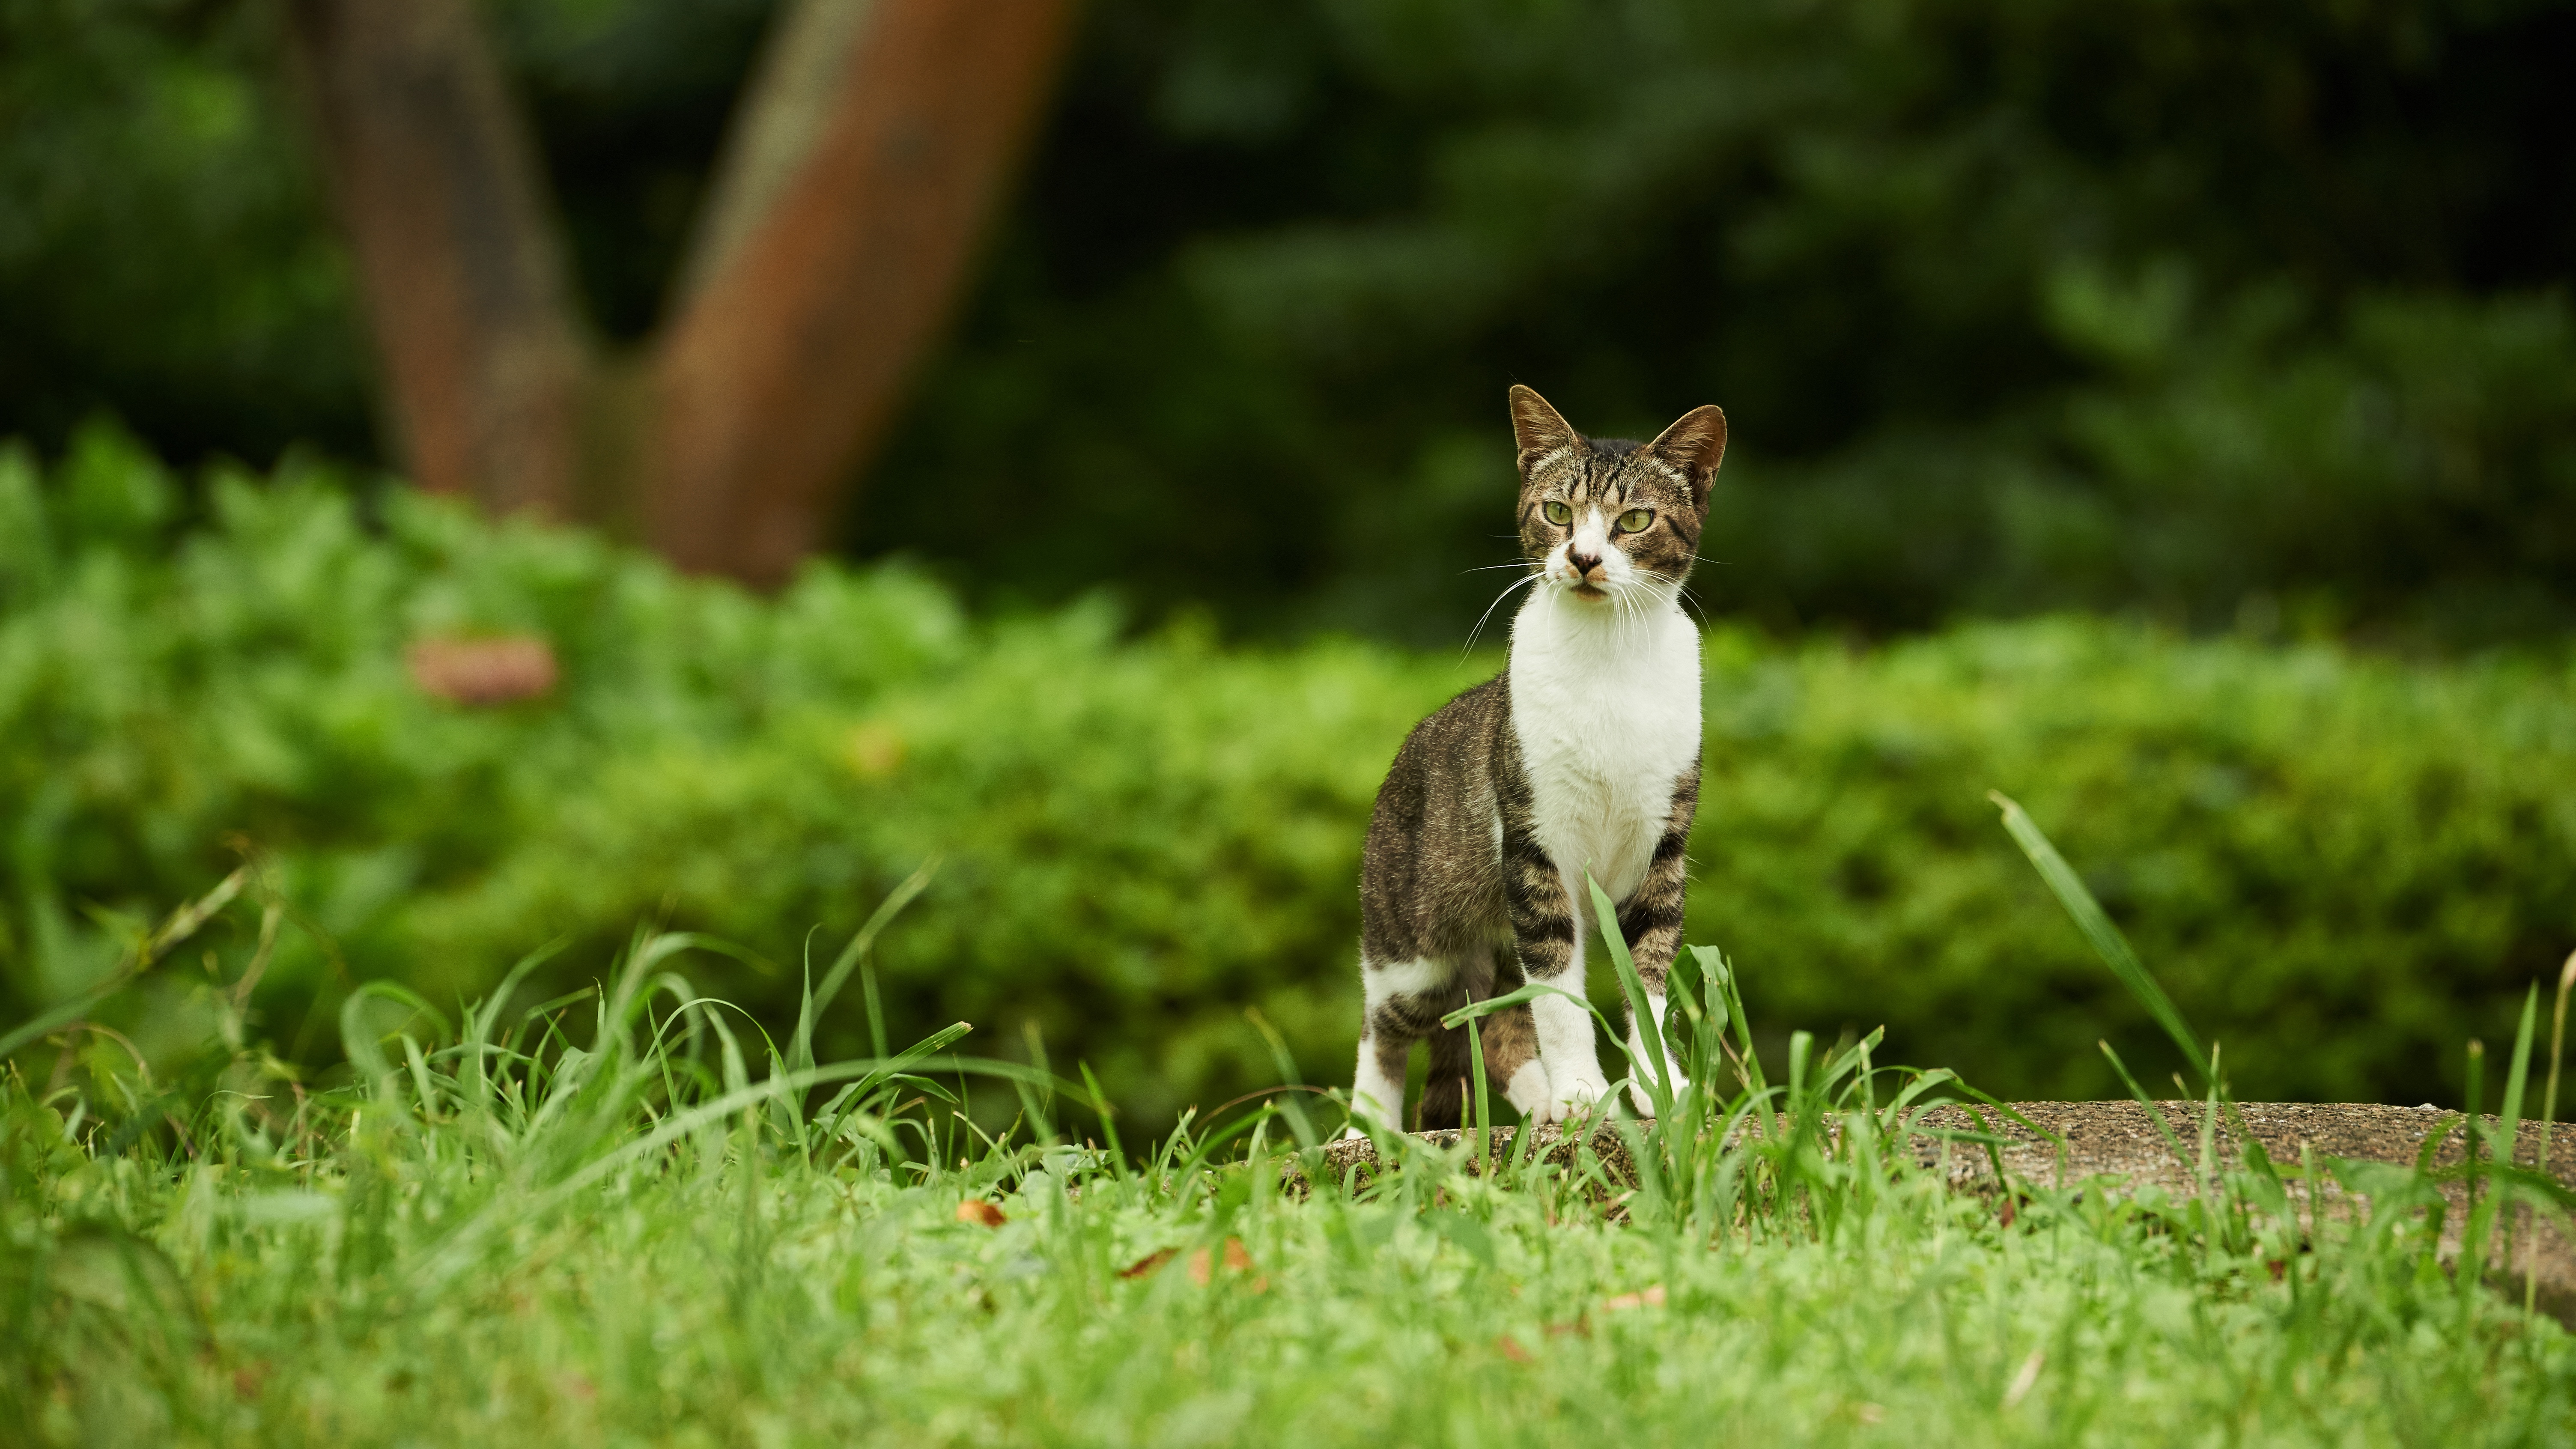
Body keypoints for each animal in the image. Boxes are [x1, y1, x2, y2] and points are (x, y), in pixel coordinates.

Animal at [1350, 389, 1731, 1134]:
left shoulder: (1661, 846)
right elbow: (1558, 993)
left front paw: (1659, 1087)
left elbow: (1648, 976)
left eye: (1634, 520)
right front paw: (1583, 1090)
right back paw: (1369, 1131)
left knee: (1495, 1032)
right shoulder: (1535, 846)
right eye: (1557, 512)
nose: (1583, 557)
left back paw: (1539, 1103)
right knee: (1385, 1027)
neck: (1608, 659)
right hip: (1414, 946)